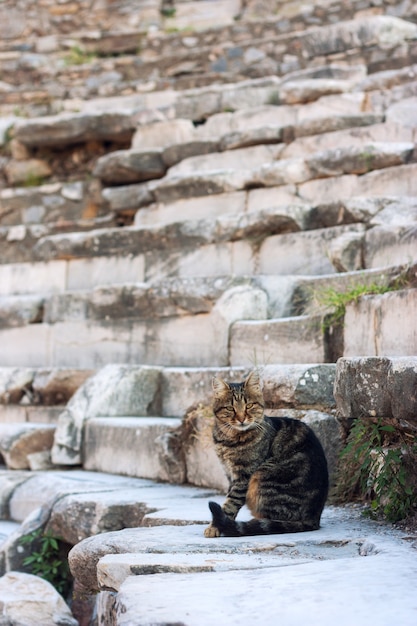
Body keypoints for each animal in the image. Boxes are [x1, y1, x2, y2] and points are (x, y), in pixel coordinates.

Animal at [205, 370, 328, 536]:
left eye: (249, 405)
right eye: (230, 408)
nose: (242, 419)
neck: (229, 439)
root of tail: (314, 518)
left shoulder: (244, 476)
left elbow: (231, 503)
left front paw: (216, 527)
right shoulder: (229, 474)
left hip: (262, 477)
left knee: (271, 520)